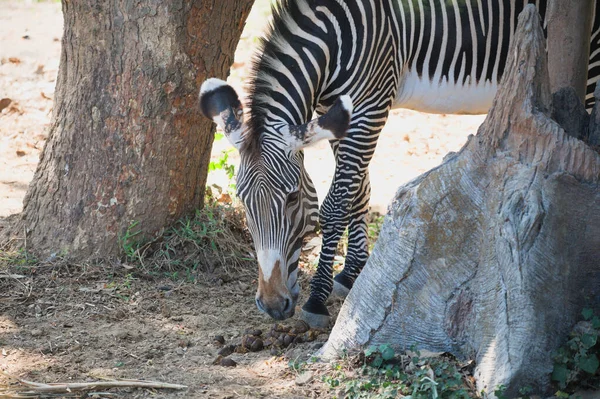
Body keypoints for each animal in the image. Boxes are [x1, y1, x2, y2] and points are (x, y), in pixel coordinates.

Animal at [200, 0, 600, 328]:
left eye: (293, 198)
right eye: (243, 201)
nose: (272, 305)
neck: (334, 35)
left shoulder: (371, 107)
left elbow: (336, 203)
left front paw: (317, 299)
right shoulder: (339, 111)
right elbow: (359, 191)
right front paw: (352, 273)